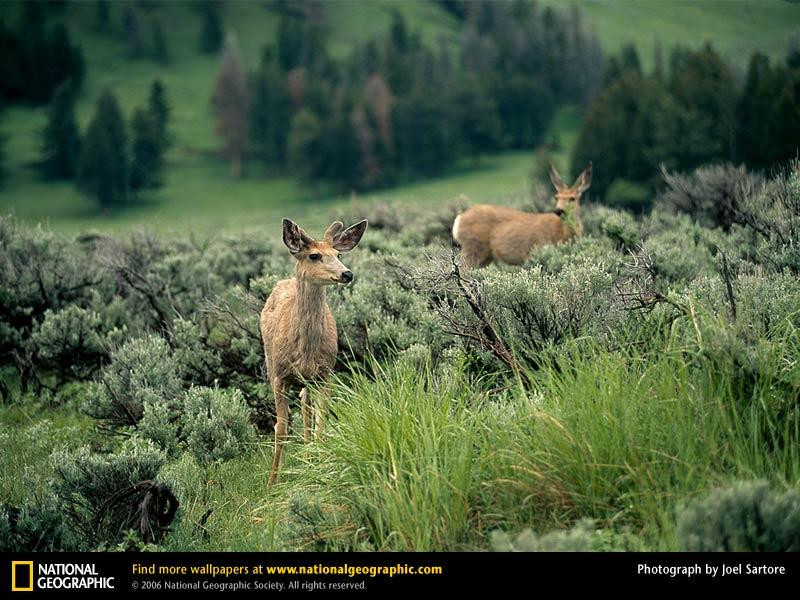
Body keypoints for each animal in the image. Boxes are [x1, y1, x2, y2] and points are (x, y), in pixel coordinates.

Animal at [262, 218, 368, 486]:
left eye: (338, 254)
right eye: (314, 255)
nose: (347, 273)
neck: (304, 351)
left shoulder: (325, 374)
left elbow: (321, 424)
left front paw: (320, 471)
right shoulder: (279, 375)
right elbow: (281, 429)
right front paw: (272, 483)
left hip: (308, 380)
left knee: (306, 409)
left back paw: (309, 459)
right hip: (270, 362)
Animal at [454, 163, 592, 268]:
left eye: (572, 198)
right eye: (556, 197)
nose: (559, 210)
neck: (563, 234)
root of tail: (459, 219)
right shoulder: (540, 250)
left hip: (485, 256)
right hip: (473, 248)